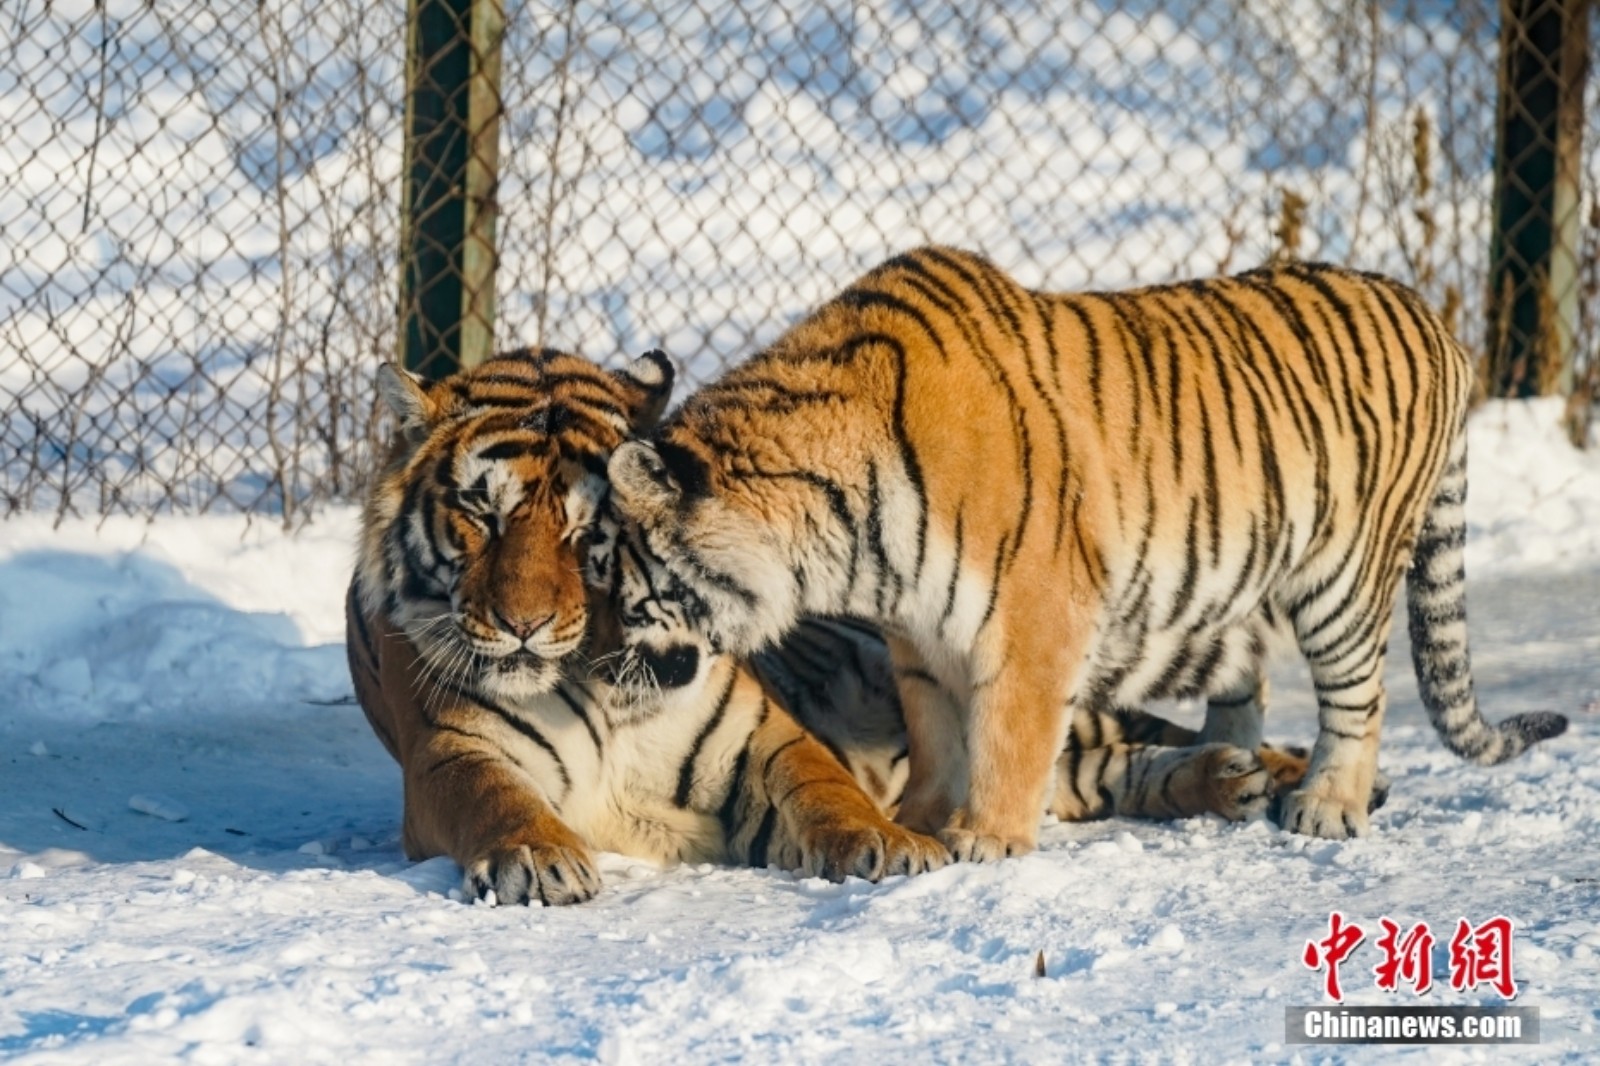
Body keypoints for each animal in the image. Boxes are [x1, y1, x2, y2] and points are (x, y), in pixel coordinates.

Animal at [350, 344, 1312, 902]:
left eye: (592, 535)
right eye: (481, 512)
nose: (523, 626)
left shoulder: (763, 736)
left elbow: (827, 790)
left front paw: (890, 845)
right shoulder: (453, 753)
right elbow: (496, 798)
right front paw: (539, 856)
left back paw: (1285, 774)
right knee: (1094, 770)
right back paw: (1231, 780)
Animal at [604, 243, 1568, 857]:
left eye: (613, 572)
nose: (595, 664)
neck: (844, 536)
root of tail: (1431, 316)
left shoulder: (1033, 617)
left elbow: (1009, 735)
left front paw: (988, 839)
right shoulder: (918, 636)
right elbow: (937, 736)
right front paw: (920, 821)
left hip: (1344, 577)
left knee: (1361, 697)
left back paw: (1326, 807)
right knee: (1247, 680)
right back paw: (1238, 769)